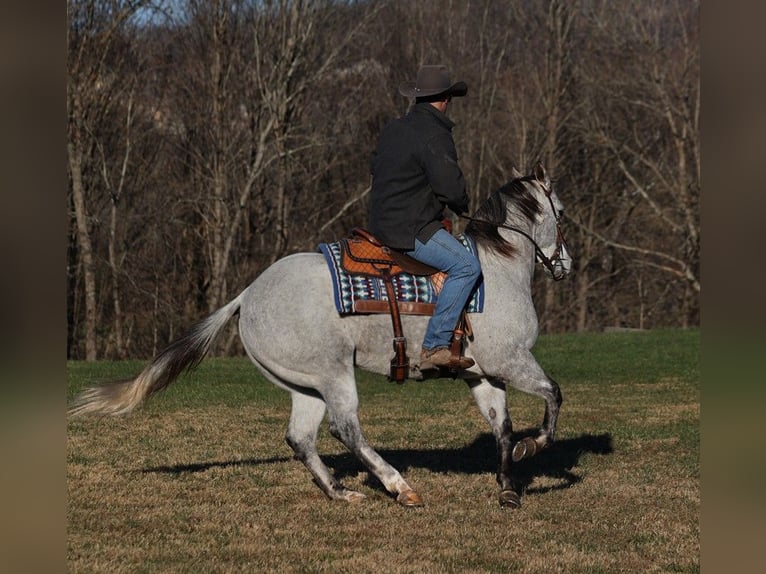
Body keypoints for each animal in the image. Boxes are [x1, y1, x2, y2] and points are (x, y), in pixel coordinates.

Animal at [70, 162, 568, 508]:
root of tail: (247, 294)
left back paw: (339, 492)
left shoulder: (484, 374)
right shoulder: (512, 361)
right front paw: (534, 447)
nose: (565, 264)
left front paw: (507, 488)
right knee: (345, 428)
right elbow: (552, 394)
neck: (497, 268)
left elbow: (501, 427)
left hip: (303, 384)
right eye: (560, 213)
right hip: (334, 374)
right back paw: (399, 487)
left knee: (301, 438)